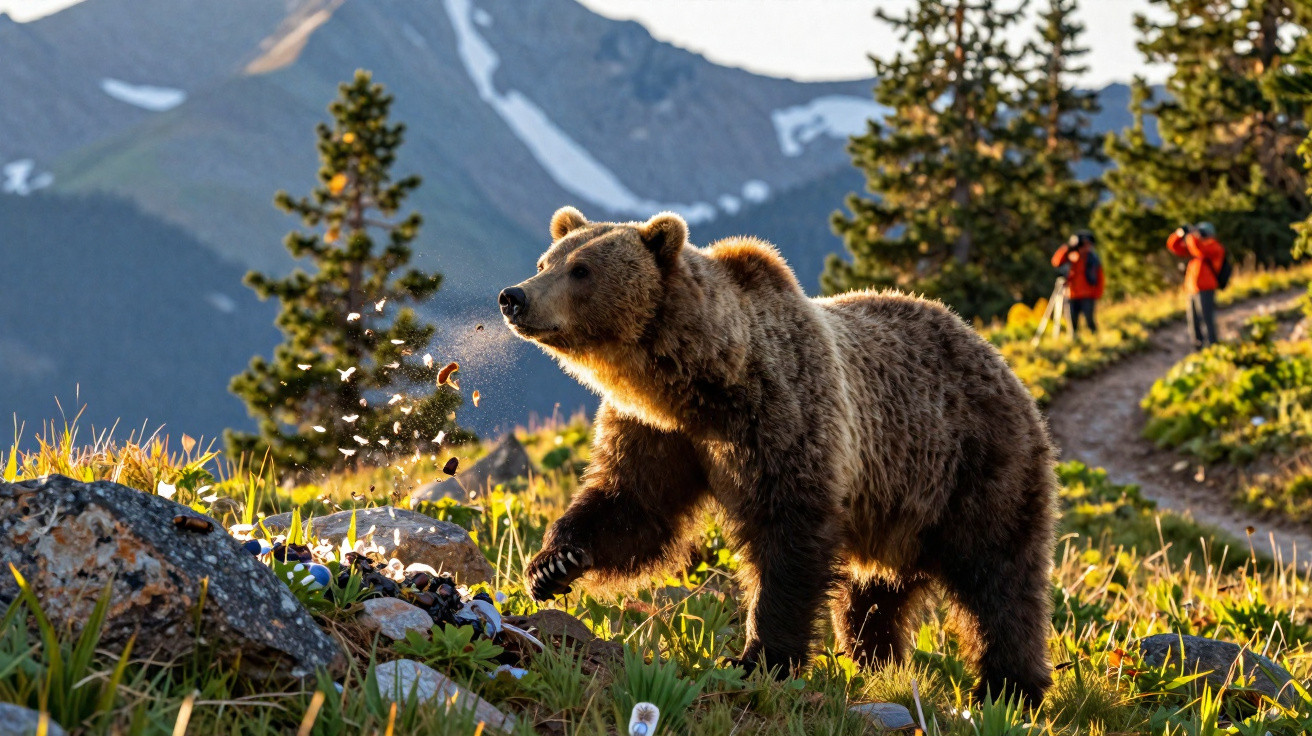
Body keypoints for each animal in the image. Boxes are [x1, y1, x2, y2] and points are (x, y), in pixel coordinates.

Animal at [499, 206, 1058, 704]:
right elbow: (632, 503)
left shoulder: (781, 417)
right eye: (547, 260)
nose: (514, 296)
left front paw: (758, 657)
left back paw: (1008, 687)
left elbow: (786, 536)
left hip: (976, 464)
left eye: (581, 269)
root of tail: (998, 359)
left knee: (1000, 578)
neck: (698, 385)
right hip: (895, 513)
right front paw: (552, 564)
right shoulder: (660, 433)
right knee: (873, 596)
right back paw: (876, 662)